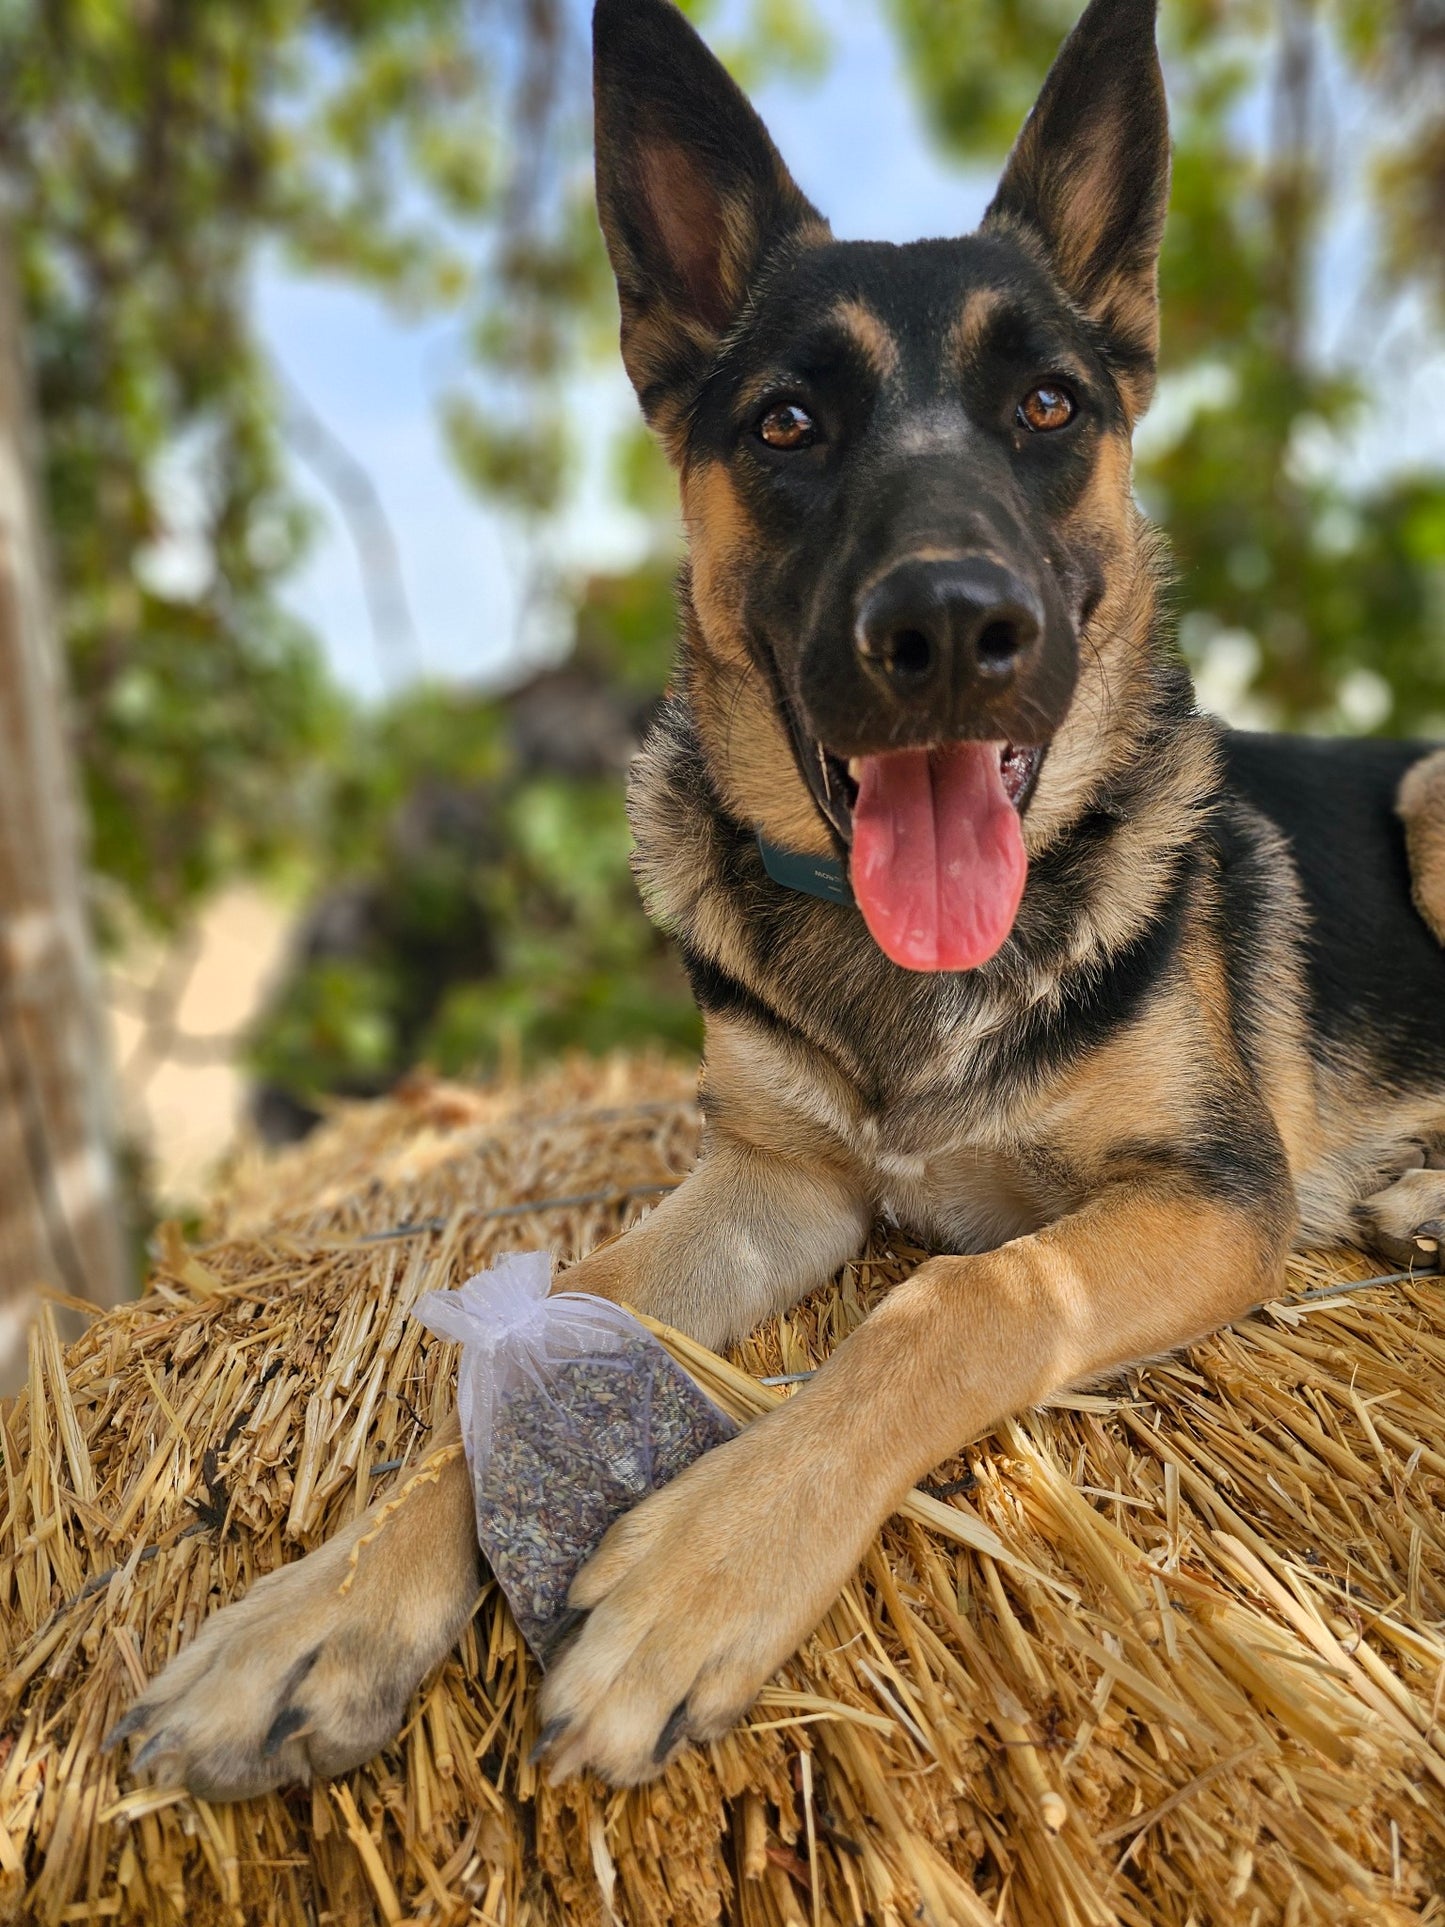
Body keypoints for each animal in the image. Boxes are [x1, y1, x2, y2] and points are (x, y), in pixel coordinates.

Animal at [113, 0, 1445, 1795]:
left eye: (1047, 406)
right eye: (787, 427)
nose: (950, 628)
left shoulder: (1208, 1196)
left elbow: (960, 1293)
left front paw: (705, 1562)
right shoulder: (772, 1185)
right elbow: (562, 1312)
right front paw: (316, 1609)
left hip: (1433, 802)